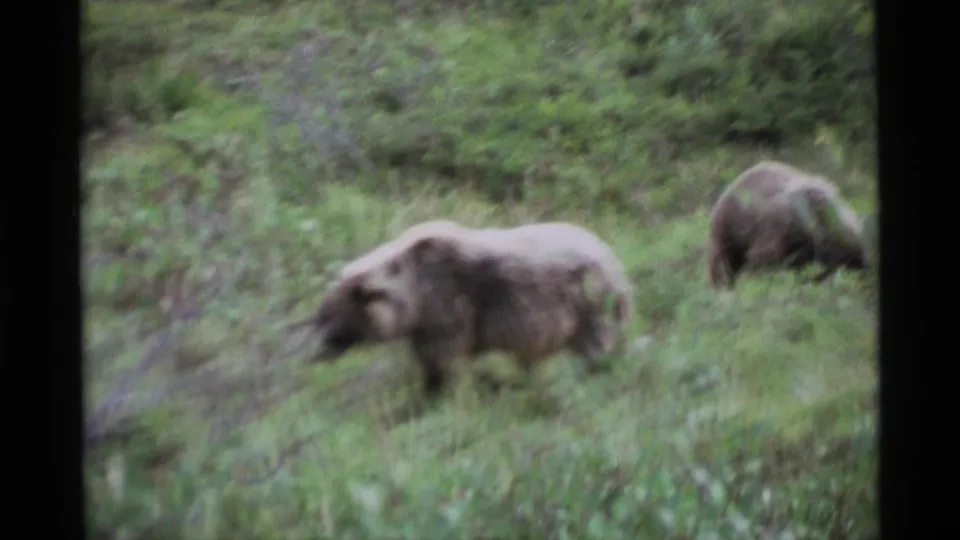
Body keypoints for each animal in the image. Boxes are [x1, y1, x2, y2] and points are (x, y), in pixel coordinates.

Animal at [298, 219, 633, 399]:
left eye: (329, 316)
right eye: (320, 313)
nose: (314, 349)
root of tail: (612, 257)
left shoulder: (446, 304)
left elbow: (441, 359)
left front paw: (430, 395)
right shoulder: (425, 322)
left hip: (586, 302)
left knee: (596, 342)